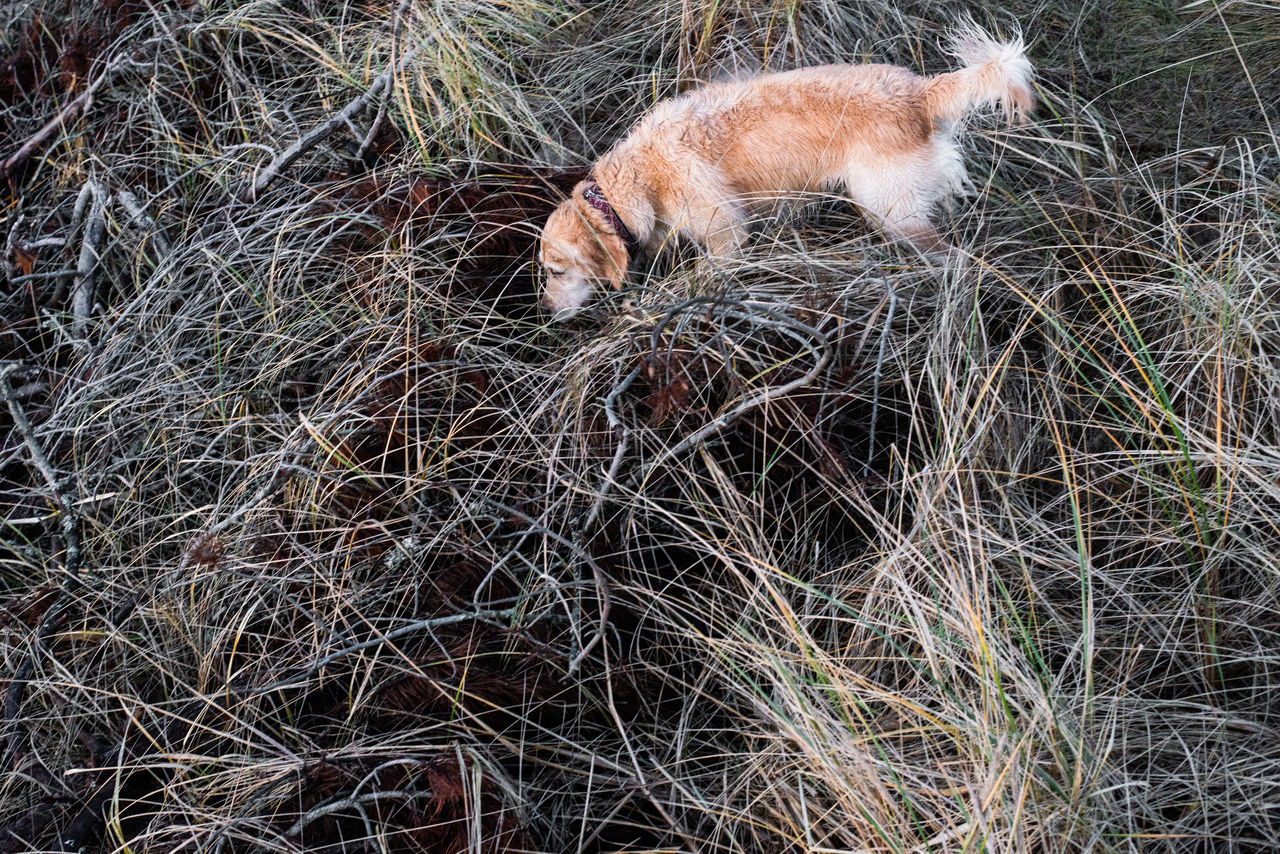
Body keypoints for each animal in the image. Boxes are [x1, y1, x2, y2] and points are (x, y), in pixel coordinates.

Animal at [535, 25, 1034, 316]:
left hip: (892, 210)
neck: (638, 176)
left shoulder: (726, 237)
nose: (546, 311)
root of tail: (920, 93)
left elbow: (704, 277)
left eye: (556, 271)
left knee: (956, 260)